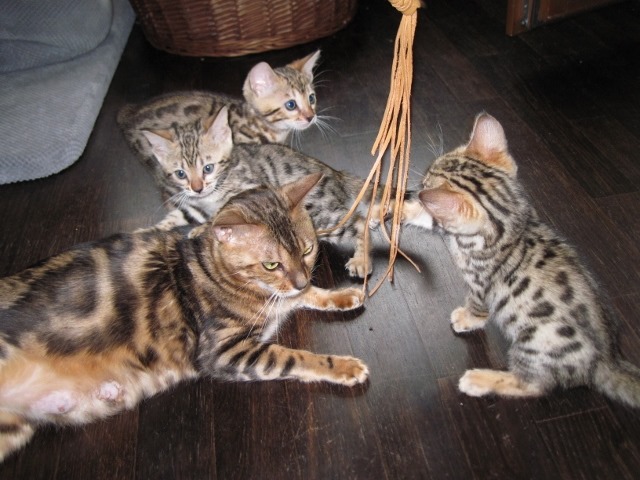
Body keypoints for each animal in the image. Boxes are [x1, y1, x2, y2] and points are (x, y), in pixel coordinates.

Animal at [0, 173, 369, 462]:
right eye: (271, 264)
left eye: (306, 250)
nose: (301, 279)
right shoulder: (225, 352)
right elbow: (295, 357)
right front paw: (343, 366)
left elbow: (303, 297)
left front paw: (339, 294)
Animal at [126, 105, 379, 278]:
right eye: (180, 174)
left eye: (208, 168)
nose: (197, 188)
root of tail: (334, 173)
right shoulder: (194, 205)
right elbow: (178, 216)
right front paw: (147, 232)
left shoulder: (247, 190)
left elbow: (222, 216)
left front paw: (204, 228)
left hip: (319, 217)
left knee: (358, 222)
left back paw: (362, 260)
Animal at [403, 112, 640, 407]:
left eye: (426, 184)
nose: (417, 189)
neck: (512, 224)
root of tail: (607, 361)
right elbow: (426, 218)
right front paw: (389, 207)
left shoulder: (480, 282)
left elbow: (478, 306)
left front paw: (467, 318)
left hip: (536, 342)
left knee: (534, 385)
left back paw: (479, 379)